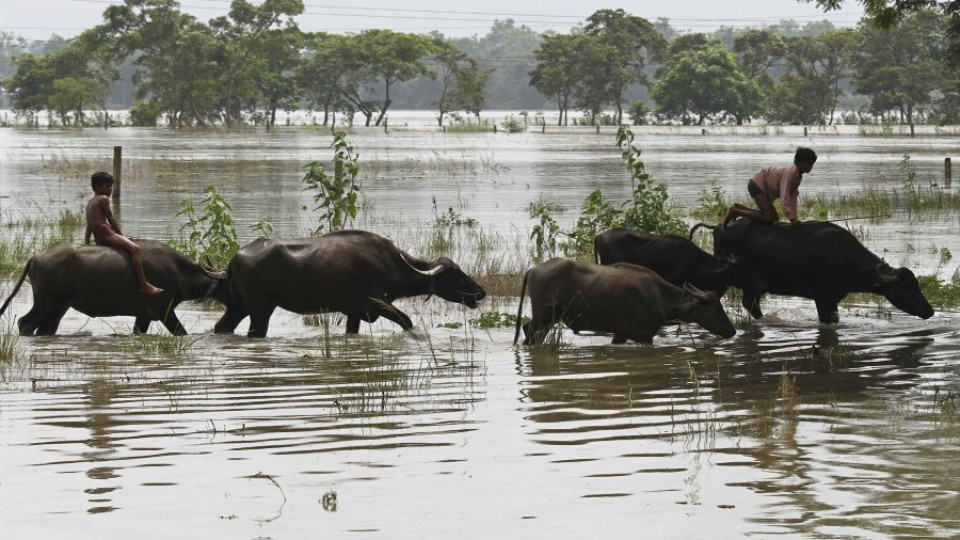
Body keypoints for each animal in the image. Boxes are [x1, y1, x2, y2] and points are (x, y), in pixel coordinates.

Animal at [0, 239, 227, 334]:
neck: (178, 271)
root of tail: (36, 257)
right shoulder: (164, 311)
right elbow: (181, 332)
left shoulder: (144, 316)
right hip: (47, 304)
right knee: (26, 323)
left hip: (56, 307)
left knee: (43, 328)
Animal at [216, 229, 488, 338]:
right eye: (456, 273)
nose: (481, 292)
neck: (393, 265)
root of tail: (235, 258)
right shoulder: (374, 304)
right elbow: (407, 322)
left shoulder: (354, 313)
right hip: (260, 310)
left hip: (238, 307)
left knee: (222, 327)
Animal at [512, 258, 740, 346]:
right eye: (713, 309)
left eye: (721, 306)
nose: (731, 331)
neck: (659, 296)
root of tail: (534, 269)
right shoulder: (644, 335)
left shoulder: (620, 334)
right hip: (543, 315)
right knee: (528, 330)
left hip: (549, 318)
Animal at [692, 217, 932, 322]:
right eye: (904, 289)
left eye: (917, 285)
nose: (929, 310)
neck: (846, 258)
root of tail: (719, 226)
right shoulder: (822, 298)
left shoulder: (833, 300)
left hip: (753, 285)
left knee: (750, 304)